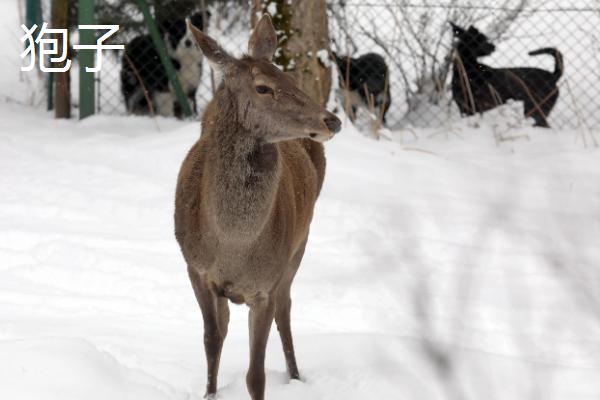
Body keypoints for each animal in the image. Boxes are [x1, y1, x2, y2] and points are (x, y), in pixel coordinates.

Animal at [173, 14, 342, 398]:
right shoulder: (195, 268)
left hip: (298, 246)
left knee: (286, 309)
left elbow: (256, 374)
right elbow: (211, 338)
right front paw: (209, 393)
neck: (232, 245)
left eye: (290, 79)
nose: (332, 120)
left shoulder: (265, 284)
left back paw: (295, 375)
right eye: (263, 88)